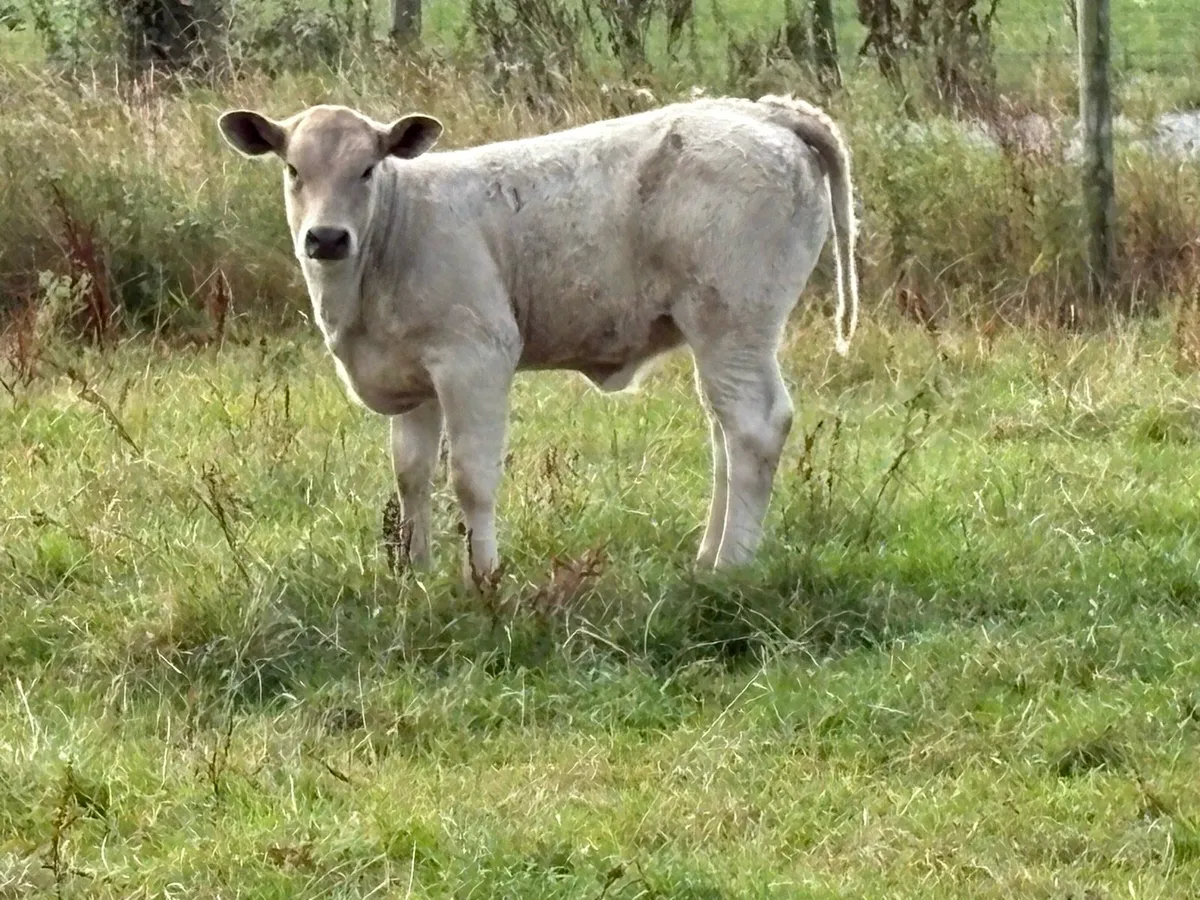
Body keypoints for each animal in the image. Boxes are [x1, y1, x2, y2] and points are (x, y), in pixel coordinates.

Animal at [216, 93, 859, 583]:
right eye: (293, 170)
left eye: (367, 170)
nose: (326, 238)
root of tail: (762, 110)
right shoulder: (413, 377)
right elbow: (411, 476)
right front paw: (416, 576)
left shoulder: (475, 359)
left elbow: (471, 477)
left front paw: (483, 578)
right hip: (720, 336)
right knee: (725, 432)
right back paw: (707, 560)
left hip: (734, 321)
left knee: (754, 427)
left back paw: (731, 568)